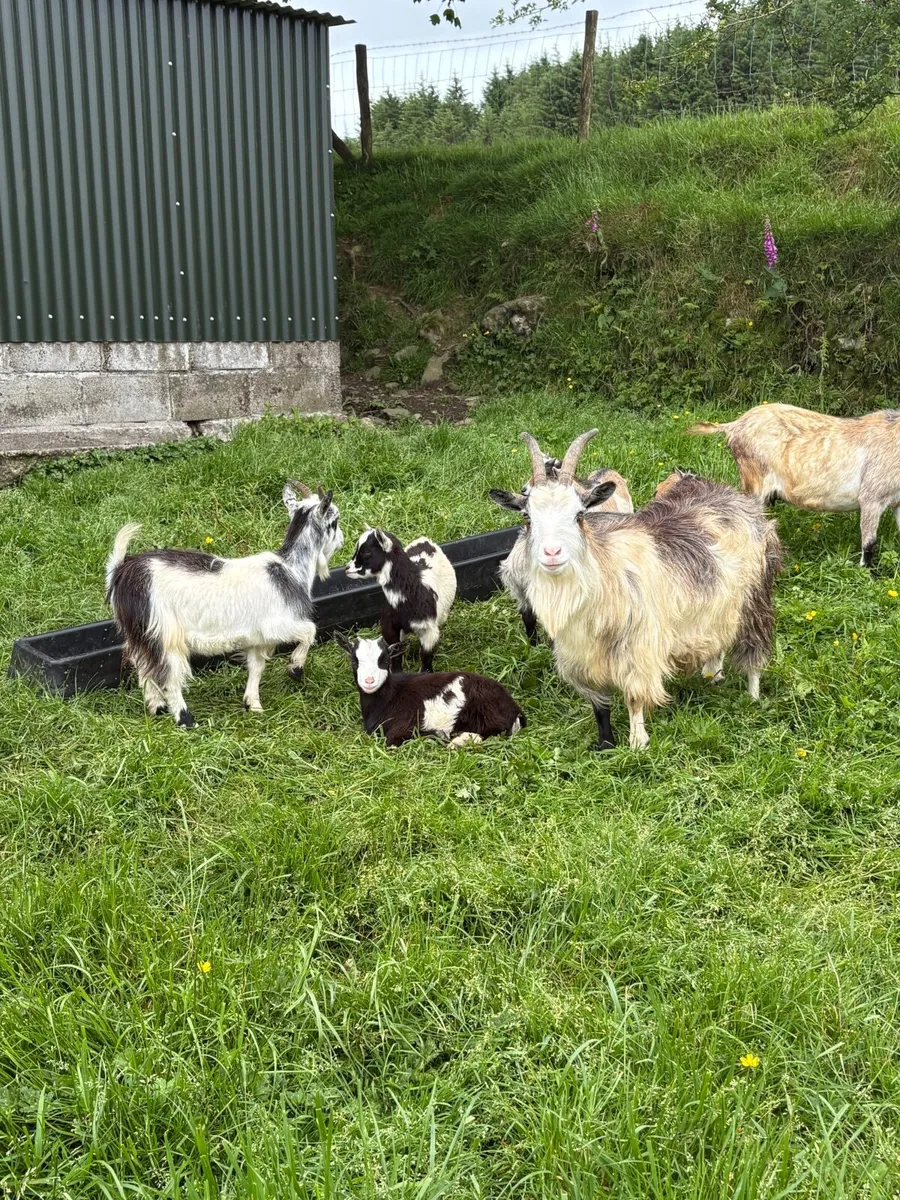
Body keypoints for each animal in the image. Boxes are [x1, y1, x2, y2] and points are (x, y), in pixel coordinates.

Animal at [106, 483, 344, 727]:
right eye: (335, 520)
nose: (342, 541)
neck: (291, 570)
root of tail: (122, 571)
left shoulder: (257, 637)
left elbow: (256, 667)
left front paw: (253, 705)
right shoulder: (277, 625)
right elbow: (310, 631)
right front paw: (295, 668)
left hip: (139, 634)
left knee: (144, 669)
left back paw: (157, 708)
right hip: (164, 631)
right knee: (169, 675)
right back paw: (186, 719)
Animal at [336, 634, 525, 747]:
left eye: (385, 661)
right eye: (354, 661)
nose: (369, 681)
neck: (389, 698)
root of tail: (515, 708)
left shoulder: (405, 724)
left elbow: (393, 741)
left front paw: (436, 735)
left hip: (484, 709)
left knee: (496, 730)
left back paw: (457, 741)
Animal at [344, 529, 457, 672]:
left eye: (367, 552)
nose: (347, 568)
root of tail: (424, 540)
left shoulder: (428, 630)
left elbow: (426, 657)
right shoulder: (390, 626)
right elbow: (395, 653)